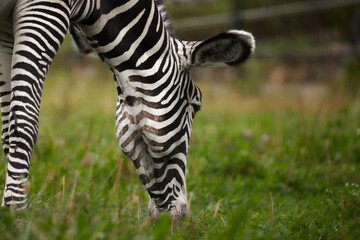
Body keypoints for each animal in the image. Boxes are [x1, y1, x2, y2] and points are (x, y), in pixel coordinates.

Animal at [0, 0, 255, 220]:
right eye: (196, 106)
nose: (184, 215)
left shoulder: (6, 28)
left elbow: (7, 129)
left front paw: (8, 216)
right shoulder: (46, 7)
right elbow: (23, 121)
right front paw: (16, 214)